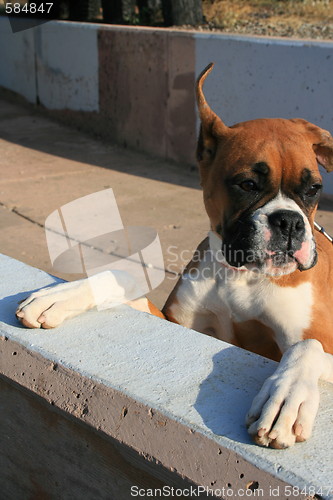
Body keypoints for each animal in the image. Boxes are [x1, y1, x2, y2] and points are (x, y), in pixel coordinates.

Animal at [15, 63, 332, 450]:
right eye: (247, 185)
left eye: (314, 189)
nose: (288, 222)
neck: (241, 275)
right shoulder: (176, 324)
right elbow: (122, 277)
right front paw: (60, 295)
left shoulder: (318, 339)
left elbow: (308, 345)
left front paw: (287, 399)